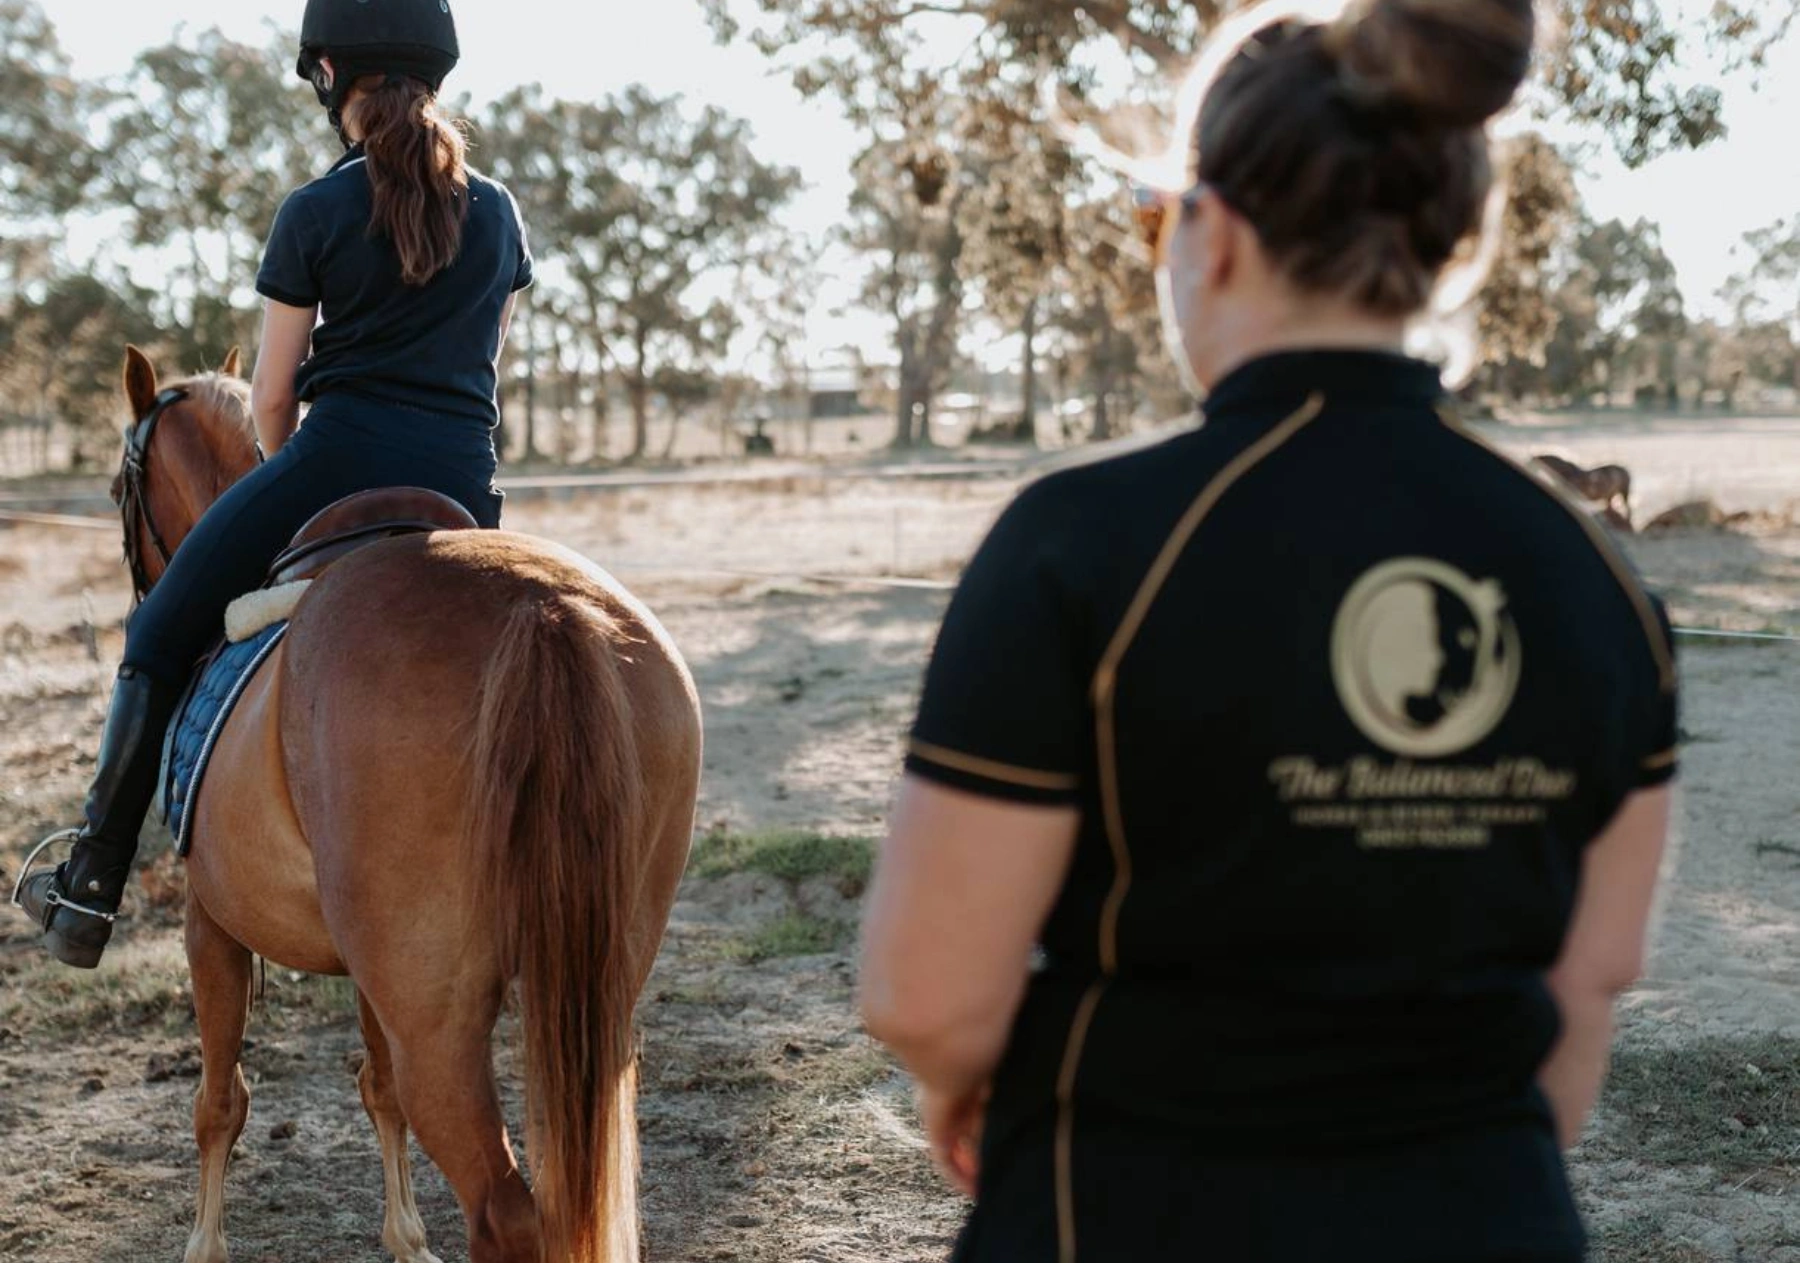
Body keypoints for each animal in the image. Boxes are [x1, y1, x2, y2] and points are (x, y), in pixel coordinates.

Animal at [107, 346, 702, 1263]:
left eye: (116, 492)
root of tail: (544, 607)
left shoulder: (210, 921)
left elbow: (221, 1100)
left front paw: (204, 1243)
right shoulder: (366, 968)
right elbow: (375, 1085)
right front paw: (406, 1234)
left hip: (438, 1013)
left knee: (503, 1207)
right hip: (596, 990)